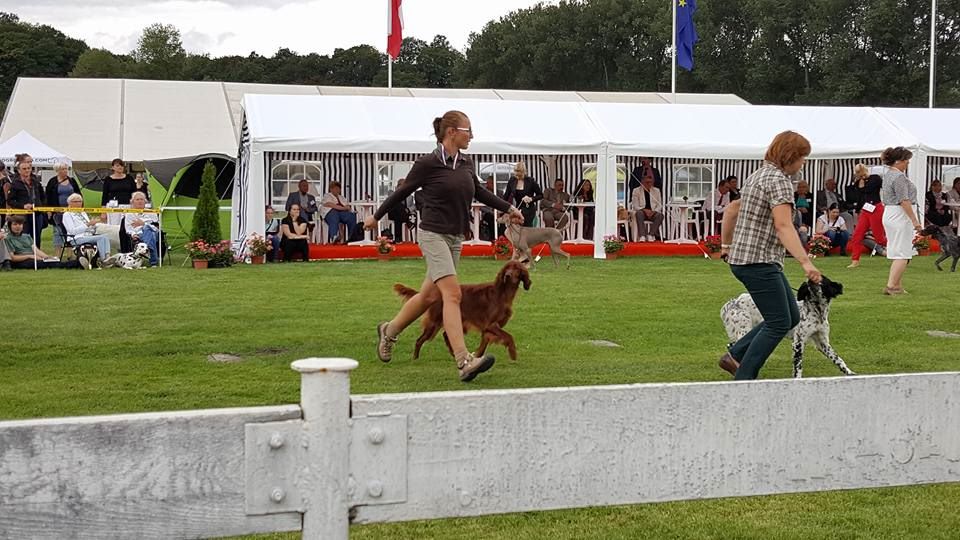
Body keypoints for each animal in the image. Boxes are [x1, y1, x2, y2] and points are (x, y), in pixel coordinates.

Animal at [394, 260, 536, 360]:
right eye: (507, 268)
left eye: (517, 269)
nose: (507, 275)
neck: (502, 293)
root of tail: (436, 295)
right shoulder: (491, 325)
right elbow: (509, 337)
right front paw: (513, 354)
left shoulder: (489, 328)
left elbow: (484, 344)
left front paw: (477, 356)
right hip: (434, 323)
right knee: (420, 340)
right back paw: (415, 358)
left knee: (445, 335)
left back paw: (454, 355)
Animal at [720, 276, 856, 378]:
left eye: (821, 280)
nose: (809, 280)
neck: (817, 312)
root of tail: (733, 302)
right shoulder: (798, 342)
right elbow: (798, 367)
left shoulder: (822, 342)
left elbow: (838, 359)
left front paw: (850, 373)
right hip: (743, 329)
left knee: (731, 346)